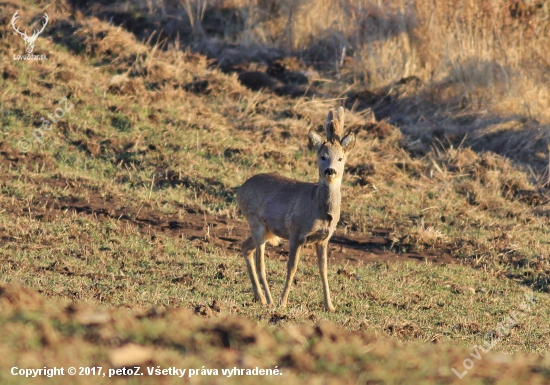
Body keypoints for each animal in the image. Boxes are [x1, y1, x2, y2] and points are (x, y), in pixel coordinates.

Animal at [239, 106, 356, 310]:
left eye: (341, 158)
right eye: (322, 156)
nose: (330, 171)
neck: (318, 207)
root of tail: (240, 190)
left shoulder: (324, 239)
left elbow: (323, 269)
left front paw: (330, 306)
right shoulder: (296, 231)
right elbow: (291, 267)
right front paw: (283, 303)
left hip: (269, 230)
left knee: (245, 247)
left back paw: (259, 297)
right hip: (256, 221)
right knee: (261, 262)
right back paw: (269, 300)